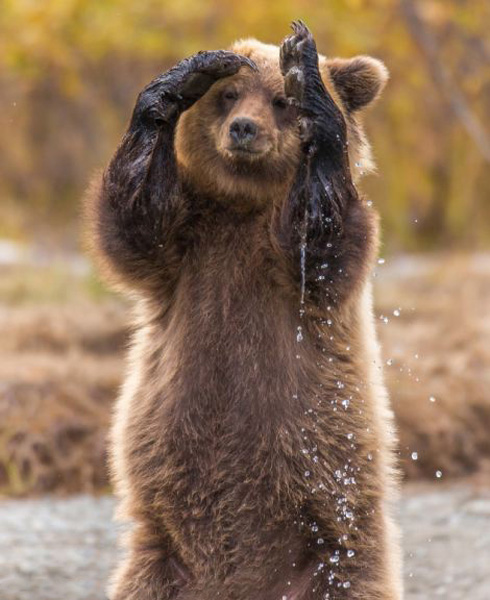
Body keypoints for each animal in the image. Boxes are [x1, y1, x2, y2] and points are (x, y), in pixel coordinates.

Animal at [88, 19, 402, 600]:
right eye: (229, 95)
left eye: (280, 101)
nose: (243, 129)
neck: (242, 204)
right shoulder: (188, 249)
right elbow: (135, 219)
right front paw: (183, 79)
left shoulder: (300, 272)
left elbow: (319, 235)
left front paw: (310, 79)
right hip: (159, 561)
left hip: (334, 561)